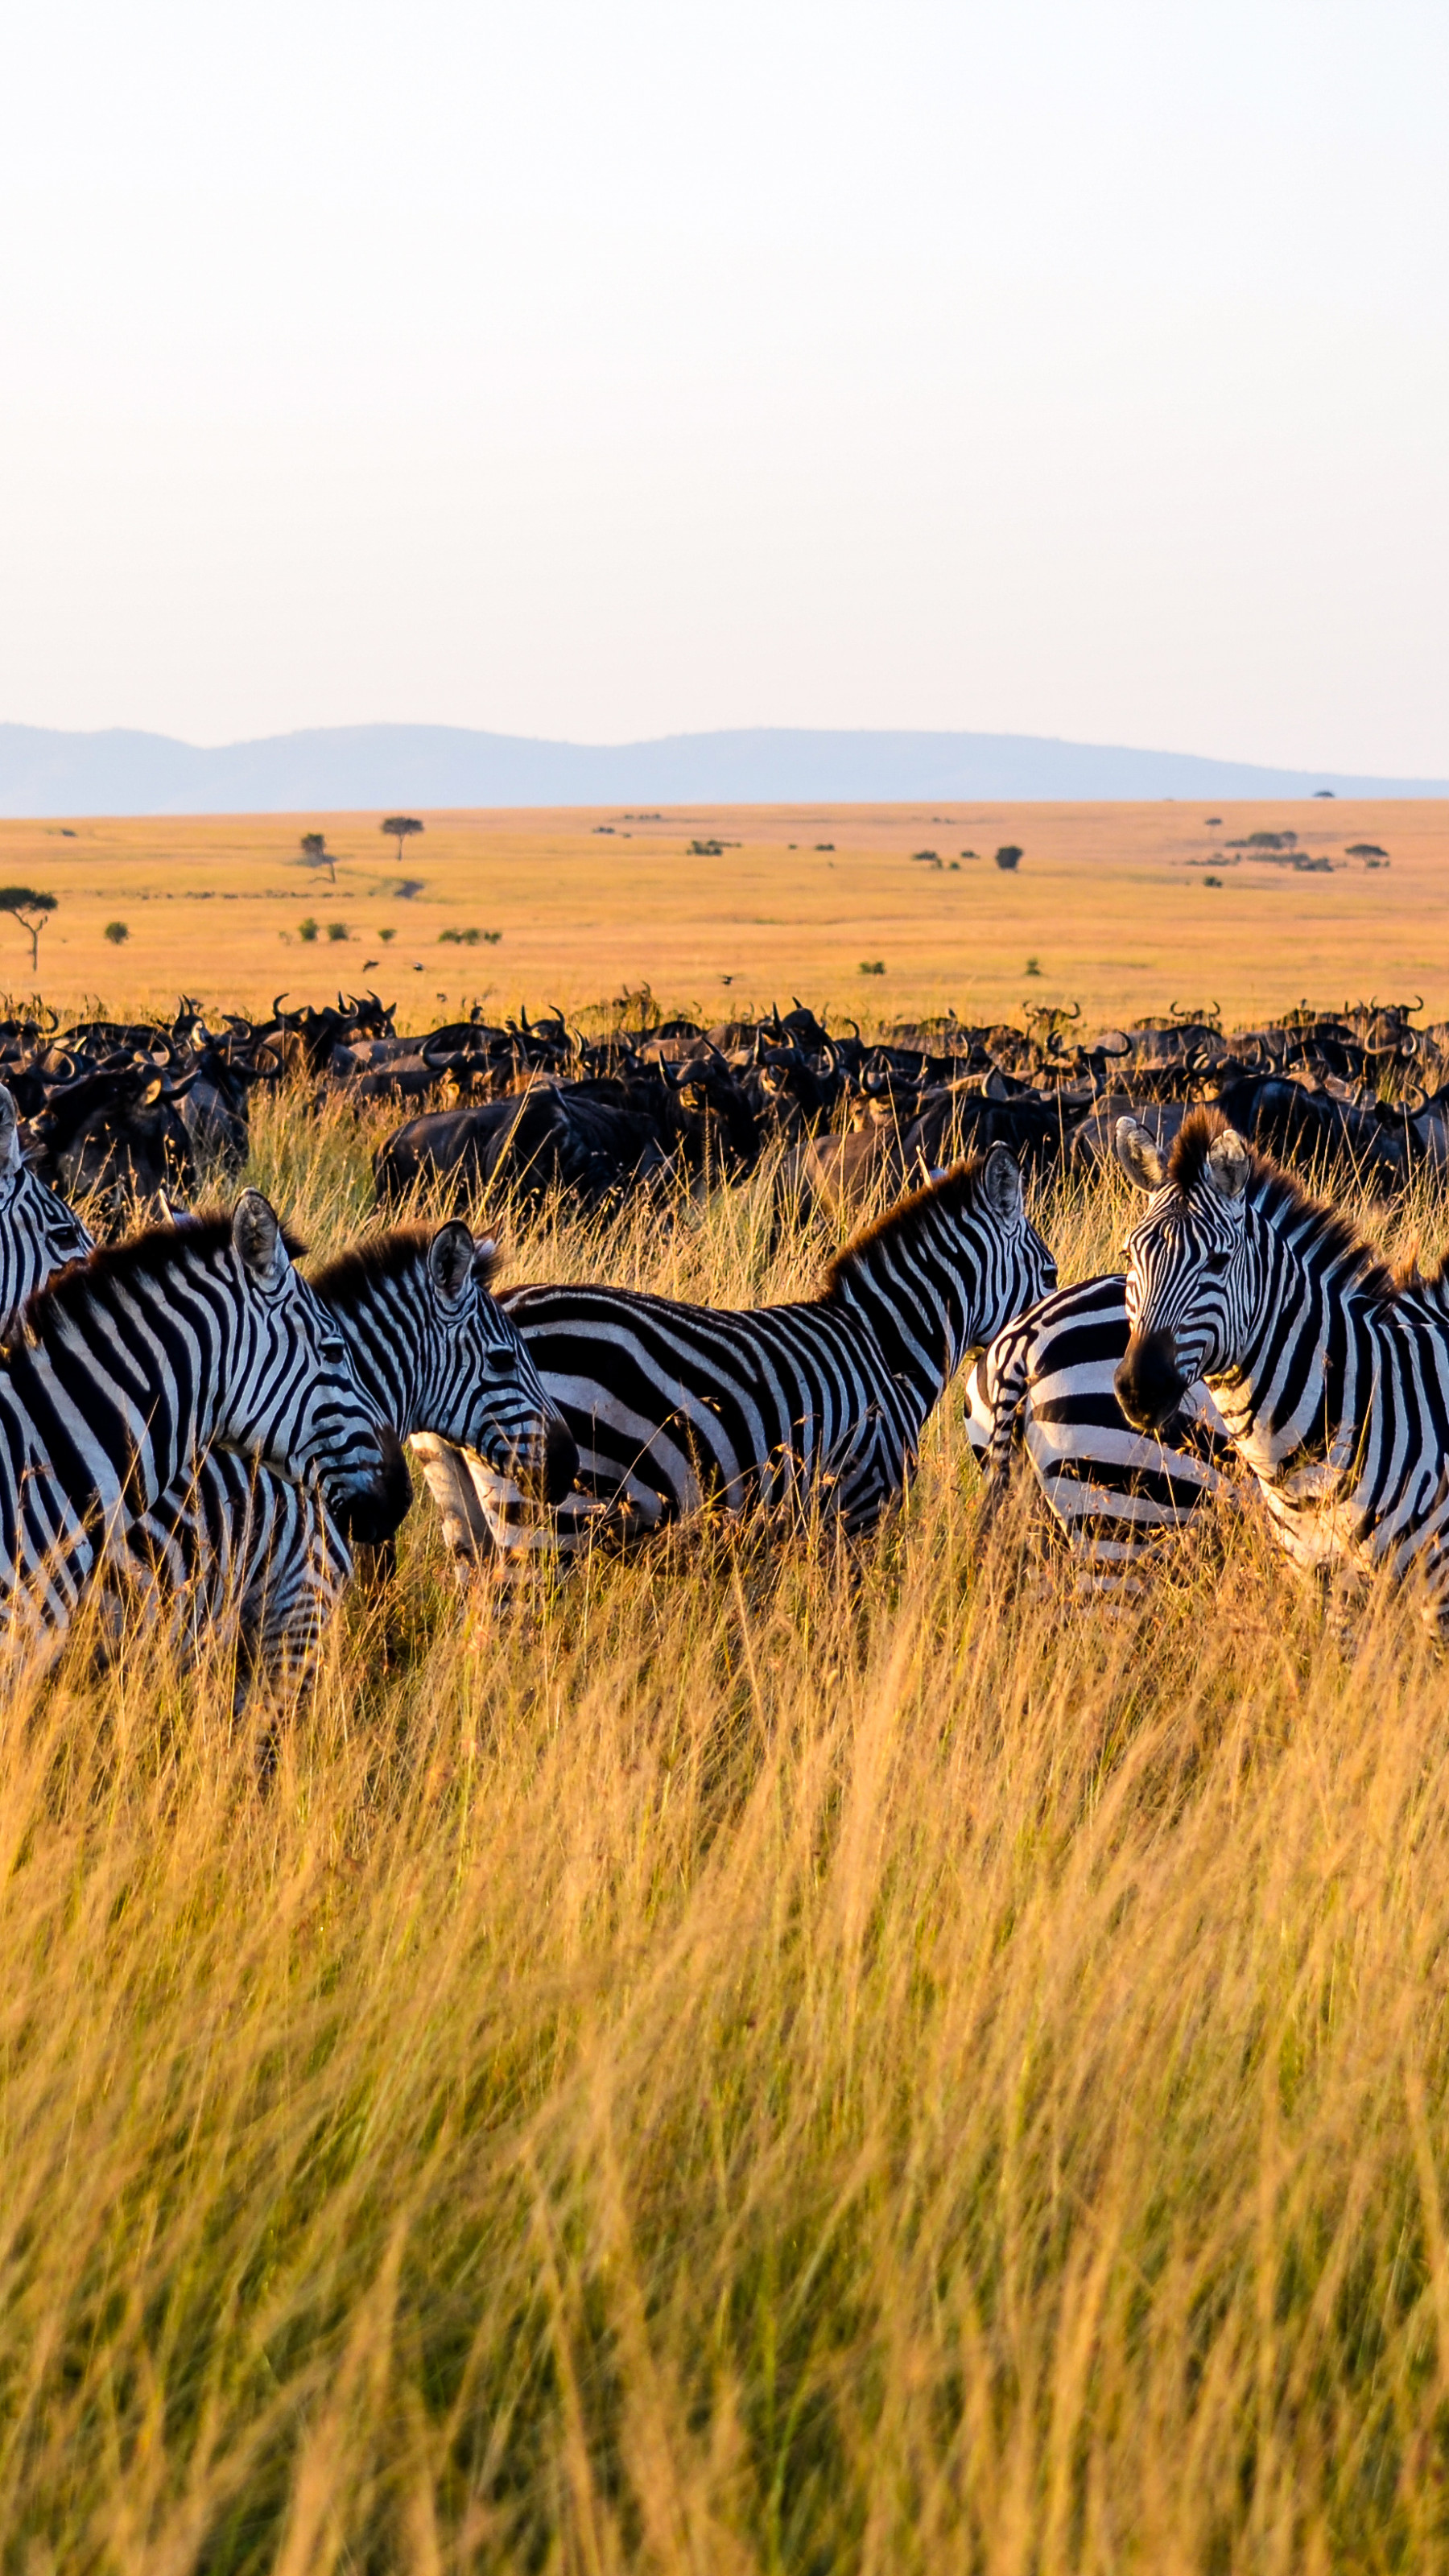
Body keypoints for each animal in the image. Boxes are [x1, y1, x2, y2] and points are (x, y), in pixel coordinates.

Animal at [408, 1146, 1056, 1571]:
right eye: (1049, 1274)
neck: (885, 1346)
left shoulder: (782, 1530)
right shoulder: (857, 1508)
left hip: (469, 1517)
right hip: (547, 1512)